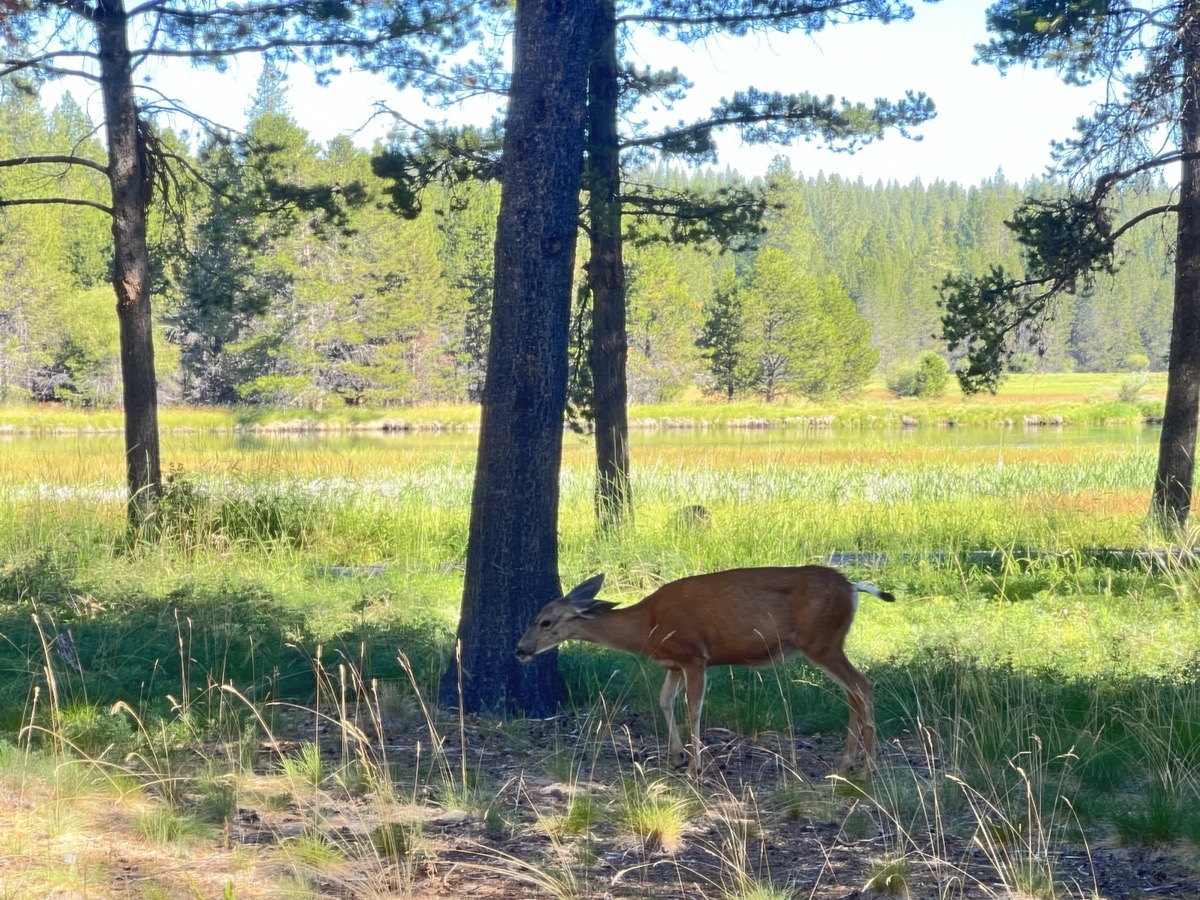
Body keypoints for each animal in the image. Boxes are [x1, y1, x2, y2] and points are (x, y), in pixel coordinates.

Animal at [511, 571, 897, 777]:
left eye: (545, 621)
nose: (520, 649)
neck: (647, 626)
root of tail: (853, 587)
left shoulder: (695, 655)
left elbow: (692, 706)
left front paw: (695, 765)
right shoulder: (673, 663)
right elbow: (664, 700)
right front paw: (676, 756)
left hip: (821, 642)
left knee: (863, 686)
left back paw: (867, 768)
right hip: (828, 643)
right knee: (853, 692)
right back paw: (845, 764)